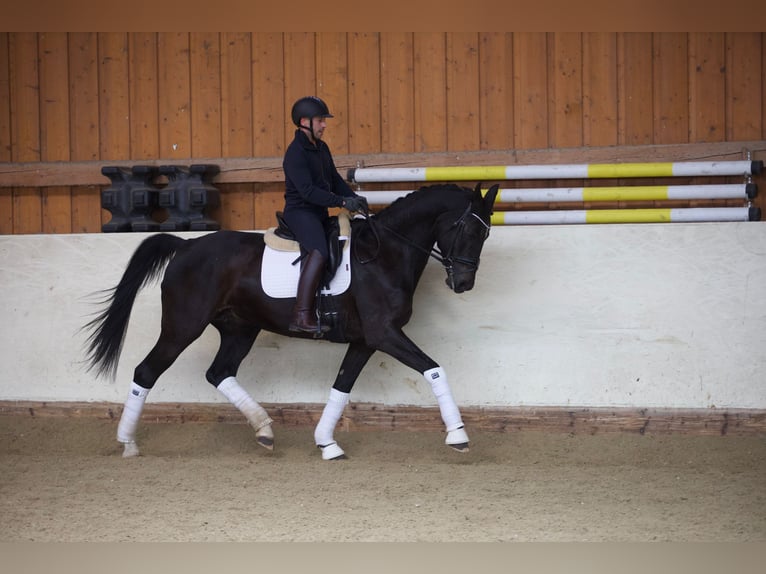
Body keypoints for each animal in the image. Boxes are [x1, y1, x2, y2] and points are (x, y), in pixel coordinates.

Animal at [84, 184, 500, 464]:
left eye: (486, 233)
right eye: (469, 229)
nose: (463, 283)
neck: (385, 255)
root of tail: (186, 246)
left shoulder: (366, 340)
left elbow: (342, 387)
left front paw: (327, 443)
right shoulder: (385, 334)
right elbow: (434, 370)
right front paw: (458, 436)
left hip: (239, 329)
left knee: (219, 372)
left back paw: (265, 430)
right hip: (182, 327)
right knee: (147, 371)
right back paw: (128, 443)